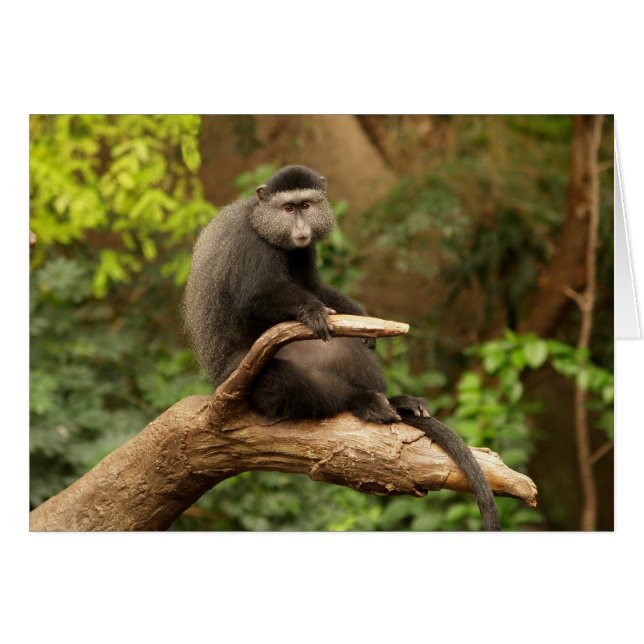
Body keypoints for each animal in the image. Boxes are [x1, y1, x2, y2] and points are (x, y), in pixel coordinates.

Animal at [184, 164, 500, 531]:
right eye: (288, 209)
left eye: (306, 206)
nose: (301, 228)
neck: (261, 221)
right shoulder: (251, 247)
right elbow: (254, 298)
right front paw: (310, 311)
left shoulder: (302, 251)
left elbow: (314, 286)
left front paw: (359, 316)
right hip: (242, 375)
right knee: (288, 384)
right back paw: (362, 402)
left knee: (346, 347)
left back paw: (395, 401)